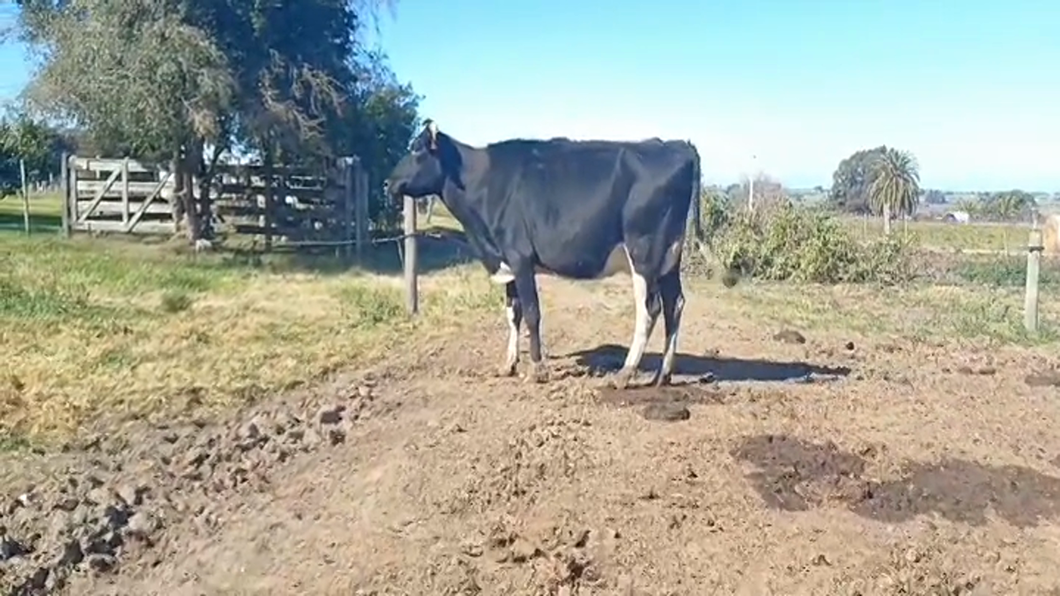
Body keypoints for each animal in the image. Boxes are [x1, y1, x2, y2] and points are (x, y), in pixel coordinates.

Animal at [385, 120, 716, 388]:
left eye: (417, 150)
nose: (388, 182)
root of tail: (676, 145)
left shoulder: (520, 257)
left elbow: (532, 313)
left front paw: (537, 369)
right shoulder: (507, 258)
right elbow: (512, 313)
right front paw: (508, 364)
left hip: (644, 252)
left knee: (650, 308)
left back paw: (625, 374)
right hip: (669, 256)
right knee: (675, 305)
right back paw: (663, 374)